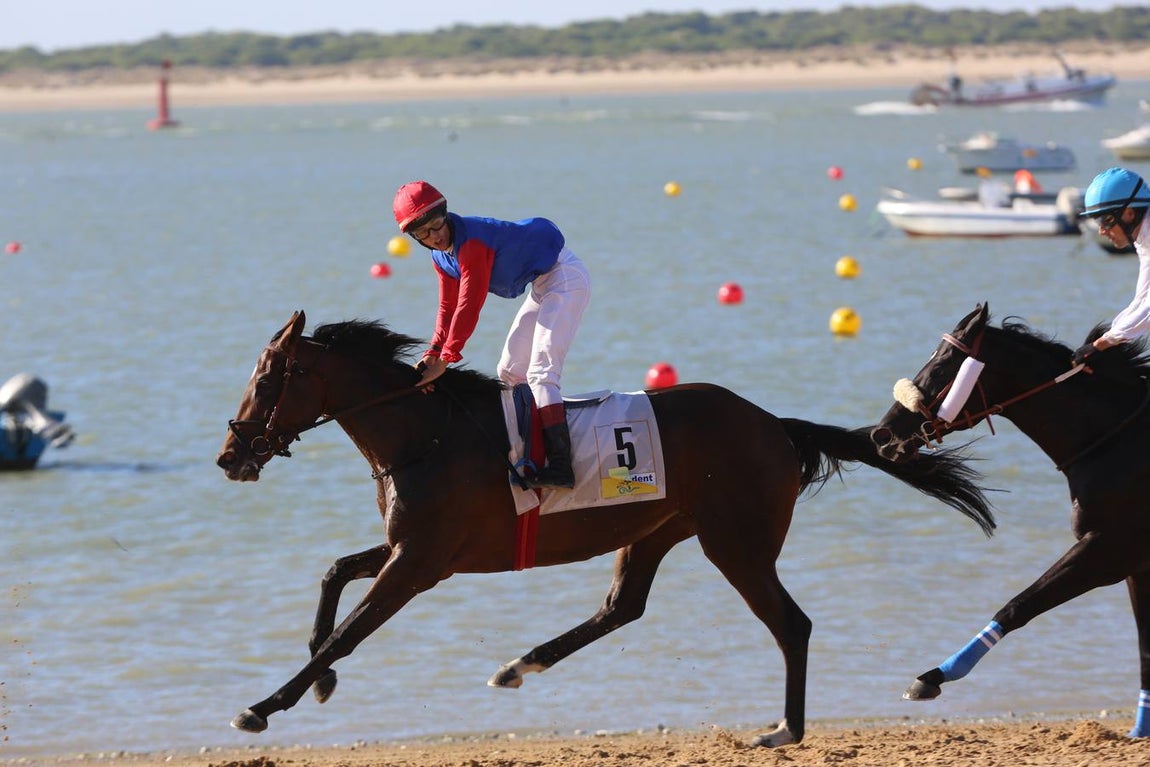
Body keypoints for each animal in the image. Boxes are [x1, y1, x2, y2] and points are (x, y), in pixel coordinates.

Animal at [215, 310, 994, 747]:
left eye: (267, 376)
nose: (229, 454)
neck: (422, 434)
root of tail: (774, 423)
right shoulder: (413, 547)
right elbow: (333, 572)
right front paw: (320, 680)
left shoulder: (421, 561)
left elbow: (350, 626)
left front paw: (264, 705)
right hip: (656, 528)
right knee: (623, 605)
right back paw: (519, 664)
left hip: (735, 541)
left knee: (790, 623)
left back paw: (786, 728)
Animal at [870, 302, 1150, 738]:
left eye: (941, 366)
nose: (882, 435)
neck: (1115, 440)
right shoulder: (1135, 565)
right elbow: (1144, 647)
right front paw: (1140, 729)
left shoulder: (1108, 548)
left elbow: (1018, 605)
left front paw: (934, 675)